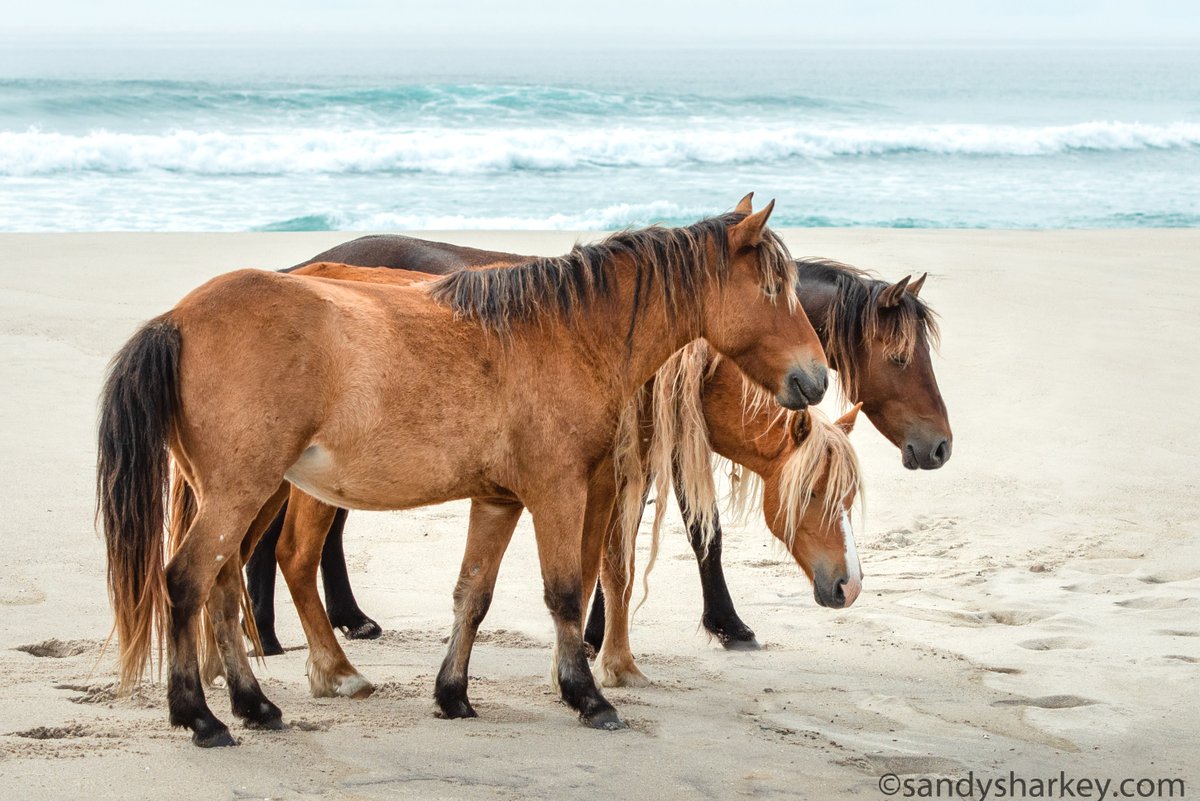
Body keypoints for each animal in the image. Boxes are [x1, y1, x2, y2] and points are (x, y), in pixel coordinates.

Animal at [96, 202, 829, 746]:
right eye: (772, 288)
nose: (816, 378)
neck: (565, 332)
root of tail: (179, 318)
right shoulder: (558, 492)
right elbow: (567, 592)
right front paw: (586, 695)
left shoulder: (498, 501)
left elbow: (471, 595)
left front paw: (452, 693)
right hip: (240, 493)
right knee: (187, 581)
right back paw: (203, 716)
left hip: (235, 497)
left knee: (222, 586)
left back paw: (256, 705)